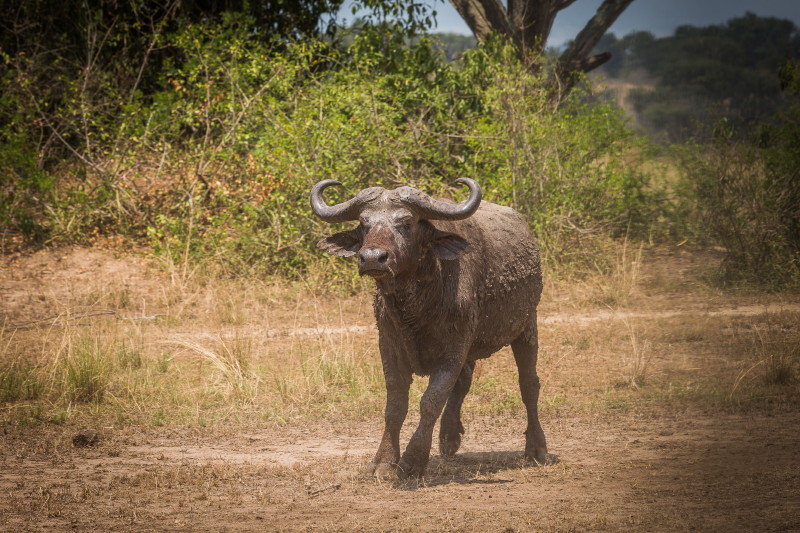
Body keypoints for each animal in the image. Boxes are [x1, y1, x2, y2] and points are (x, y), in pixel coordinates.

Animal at [310, 179, 548, 478]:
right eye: (364, 223)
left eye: (406, 222)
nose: (373, 258)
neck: (415, 310)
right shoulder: (389, 345)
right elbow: (395, 405)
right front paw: (383, 461)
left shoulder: (454, 349)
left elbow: (431, 401)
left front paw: (413, 460)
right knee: (465, 381)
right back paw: (449, 437)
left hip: (527, 325)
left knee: (529, 384)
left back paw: (536, 448)